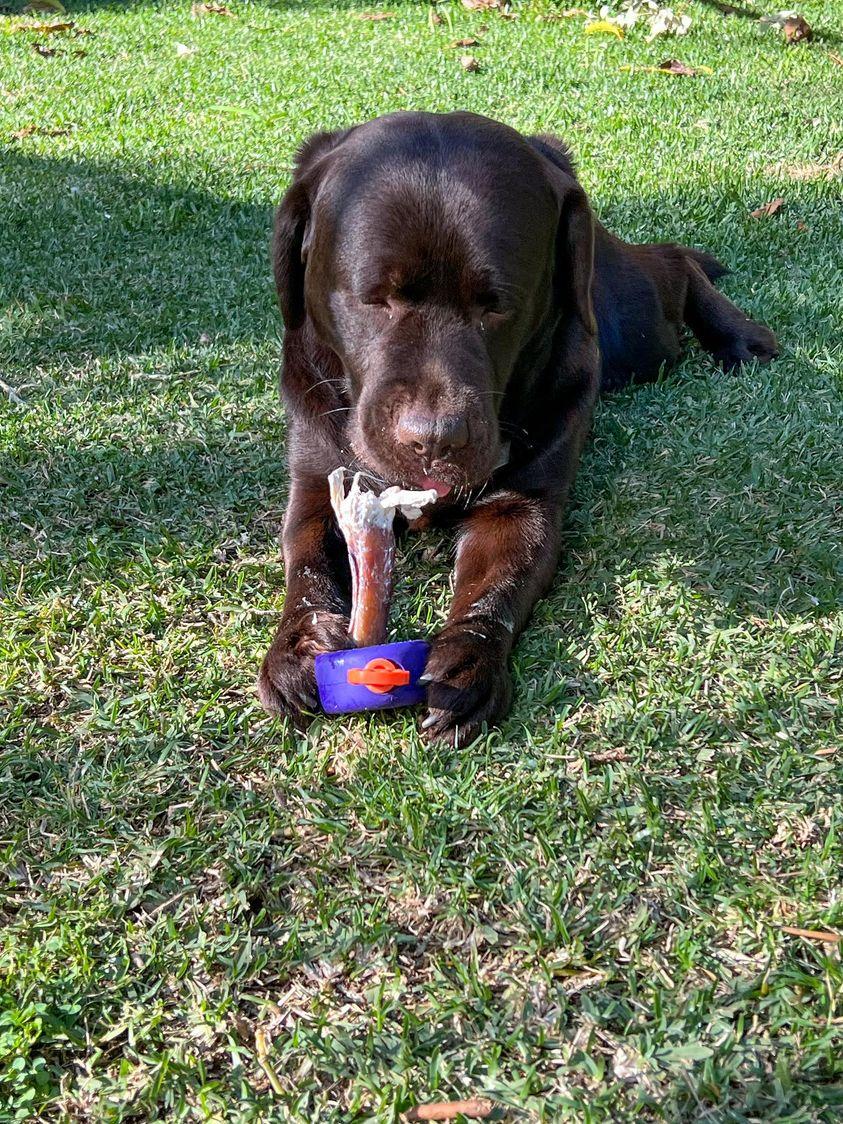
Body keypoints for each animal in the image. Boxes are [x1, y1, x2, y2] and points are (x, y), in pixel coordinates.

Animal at [259, 111, 777, 746]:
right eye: (374, 298)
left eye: (497, 305)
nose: (435, 439)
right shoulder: (318, 477)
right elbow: (306, 554)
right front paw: (299, 647)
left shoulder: (524, 503)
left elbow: (501, 579)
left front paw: (469, 662)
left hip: (637, 327)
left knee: (672, 262)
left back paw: (740, 334)